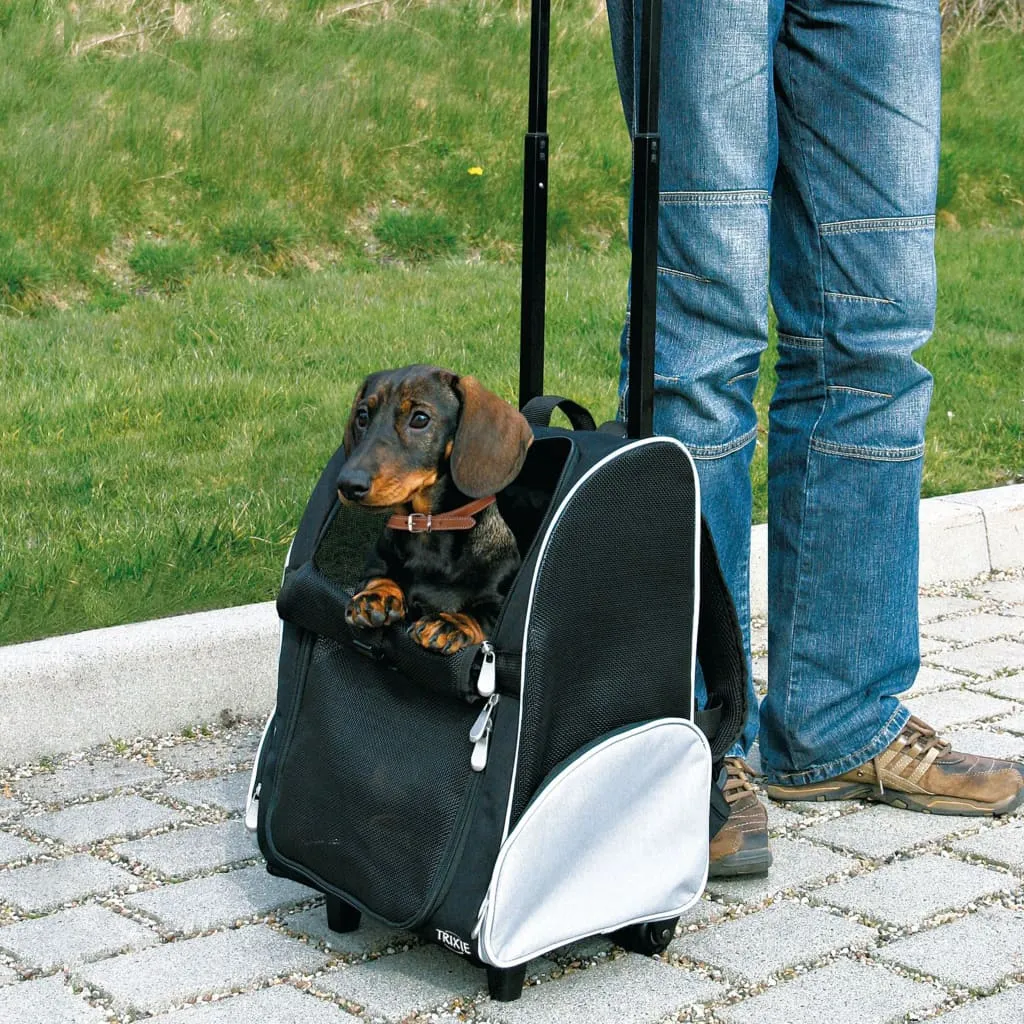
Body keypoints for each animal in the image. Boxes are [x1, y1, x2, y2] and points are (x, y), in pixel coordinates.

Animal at [337, 366, 532, 655]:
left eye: (420, 418)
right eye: (362, 416)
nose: (348, 485)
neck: (428, 526)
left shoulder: (498, 602)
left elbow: (483, 615)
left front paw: (452, 622)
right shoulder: (374, 566)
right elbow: (378, 576)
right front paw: (376, 595)